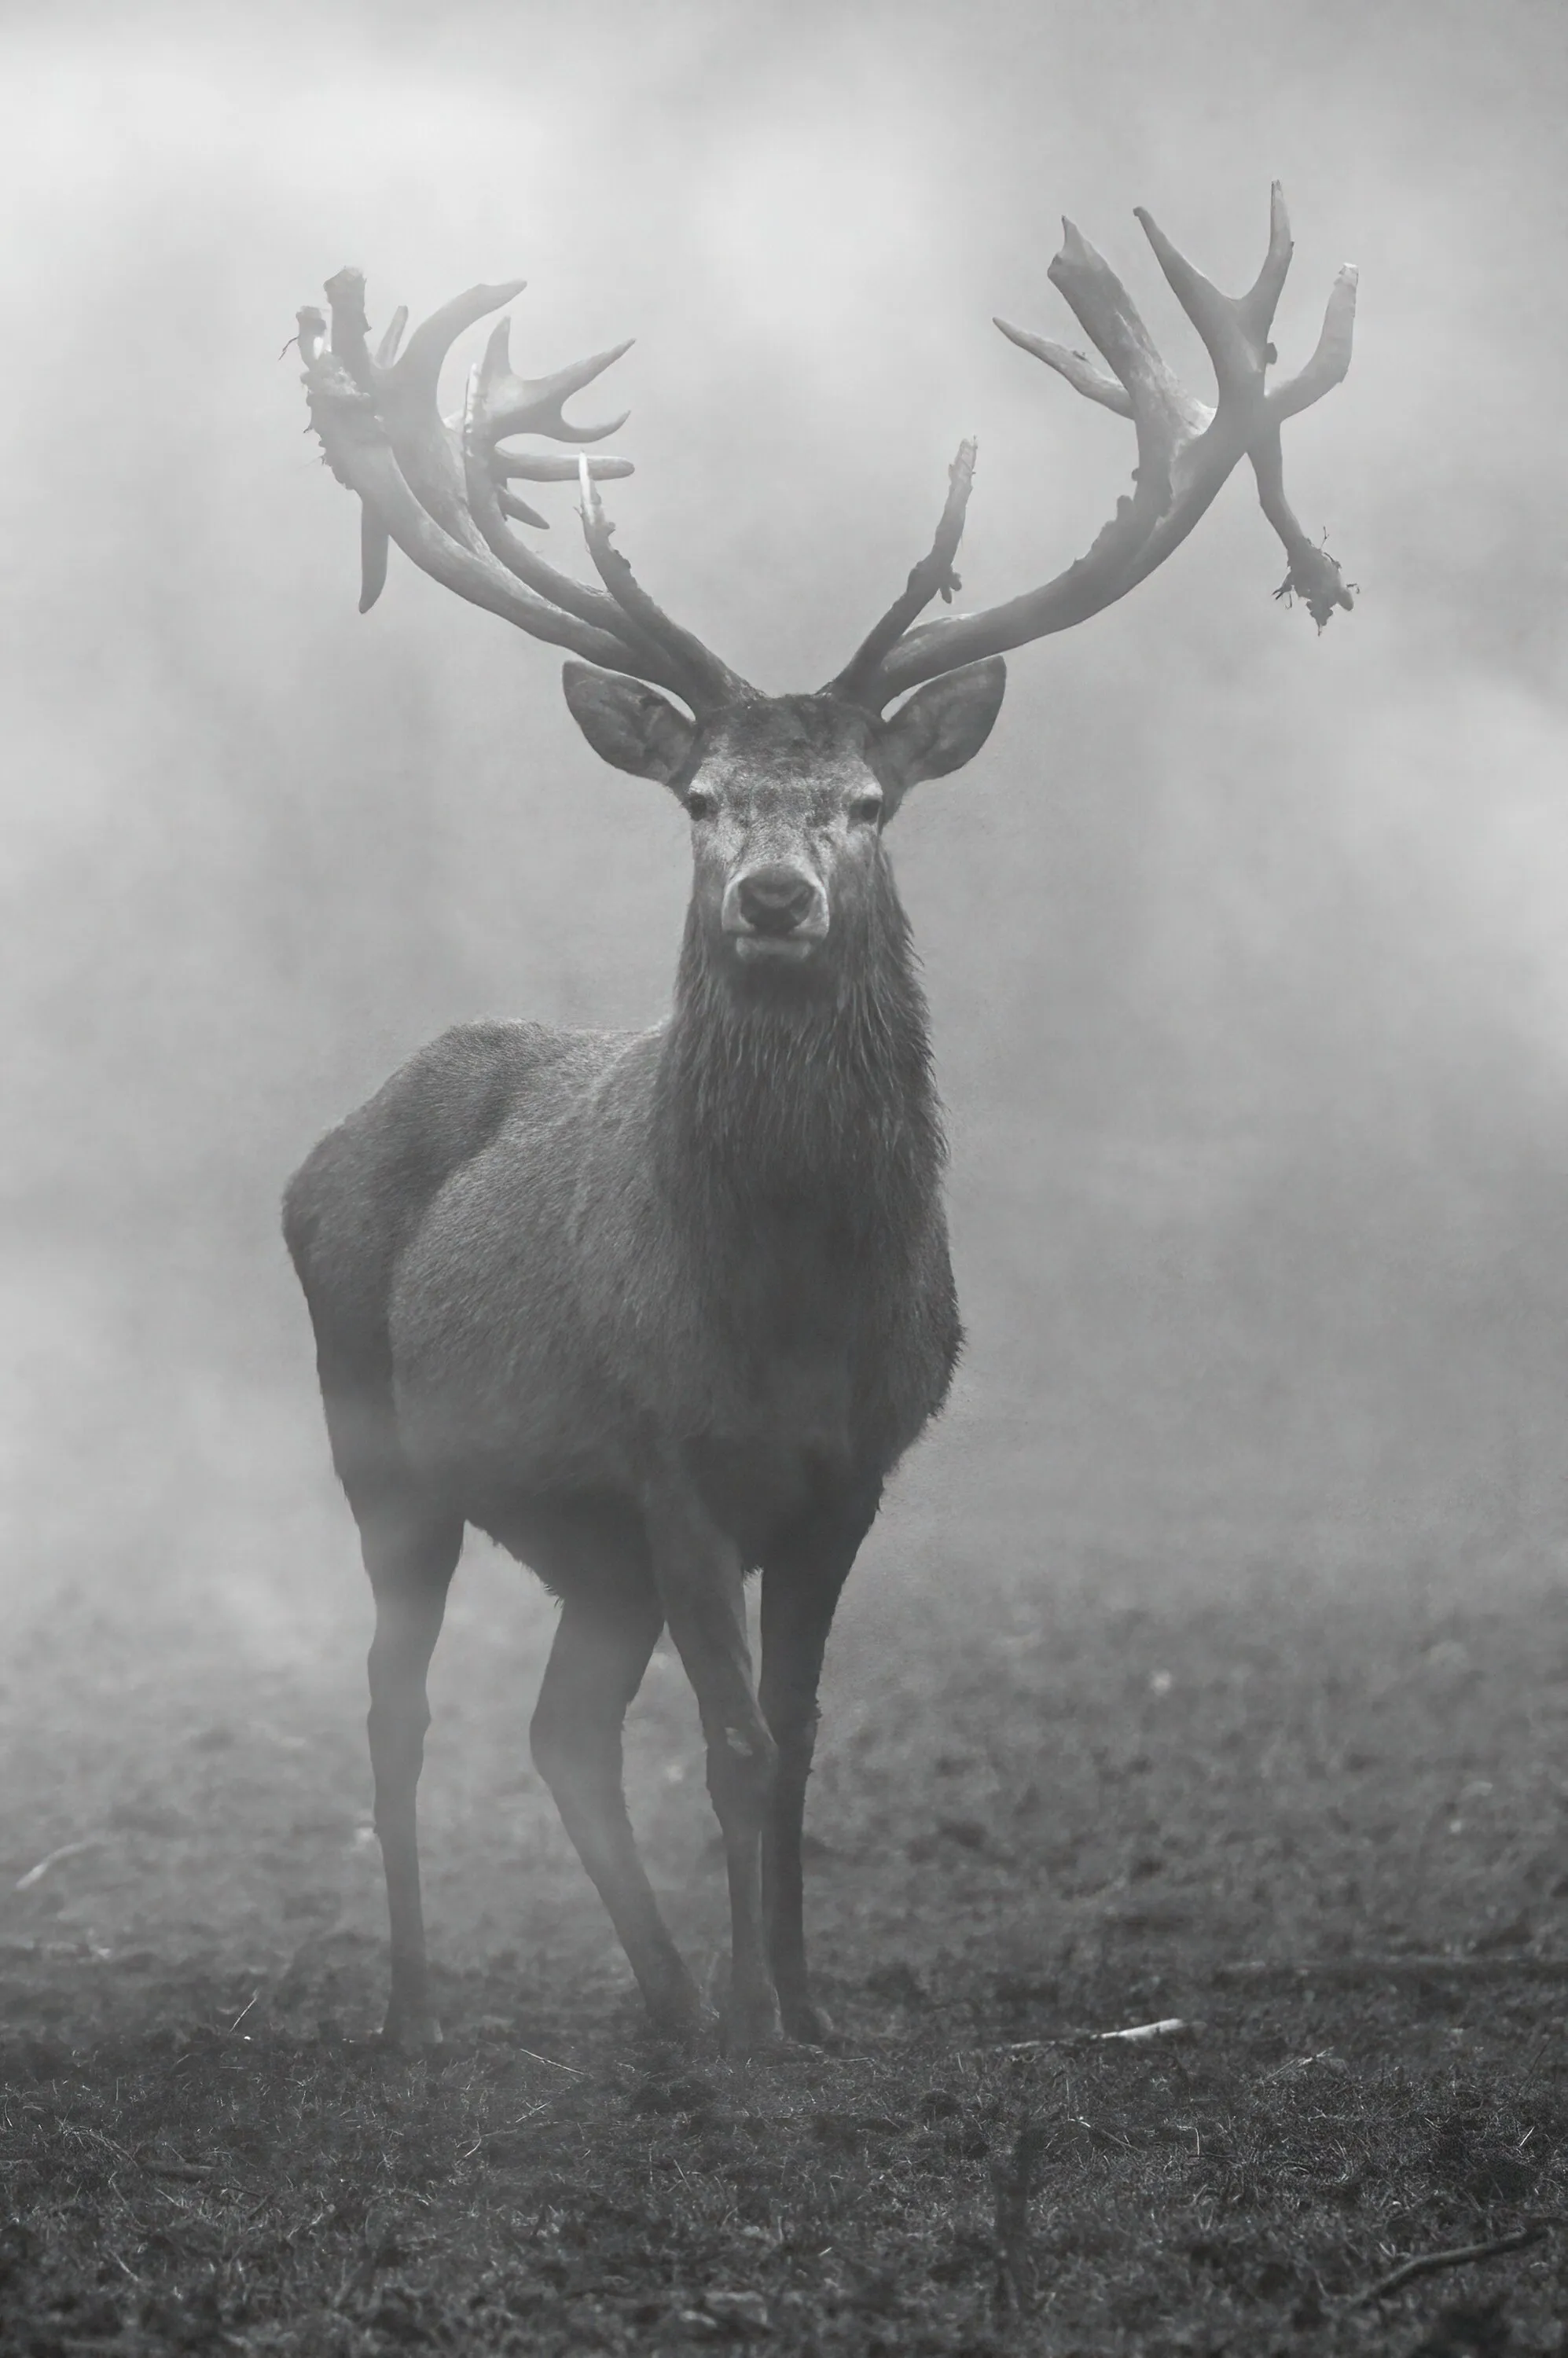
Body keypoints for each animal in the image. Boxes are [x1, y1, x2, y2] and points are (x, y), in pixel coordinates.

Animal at [283, 188, 1356, 2052]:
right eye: (703, 801)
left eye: (866, 803)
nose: (775, 895)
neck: (787, 1301)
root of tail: (315, 1153)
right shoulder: (666, 1451)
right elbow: (730, 1740)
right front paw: (755, 2020)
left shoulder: (849, 1471)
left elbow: (795, 1751)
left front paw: (799, 2010)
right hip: (380, 1443)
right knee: (396, 1701)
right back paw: (420, 2011)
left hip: (585, 1549)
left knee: (561, 1727)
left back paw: (658, 2001)